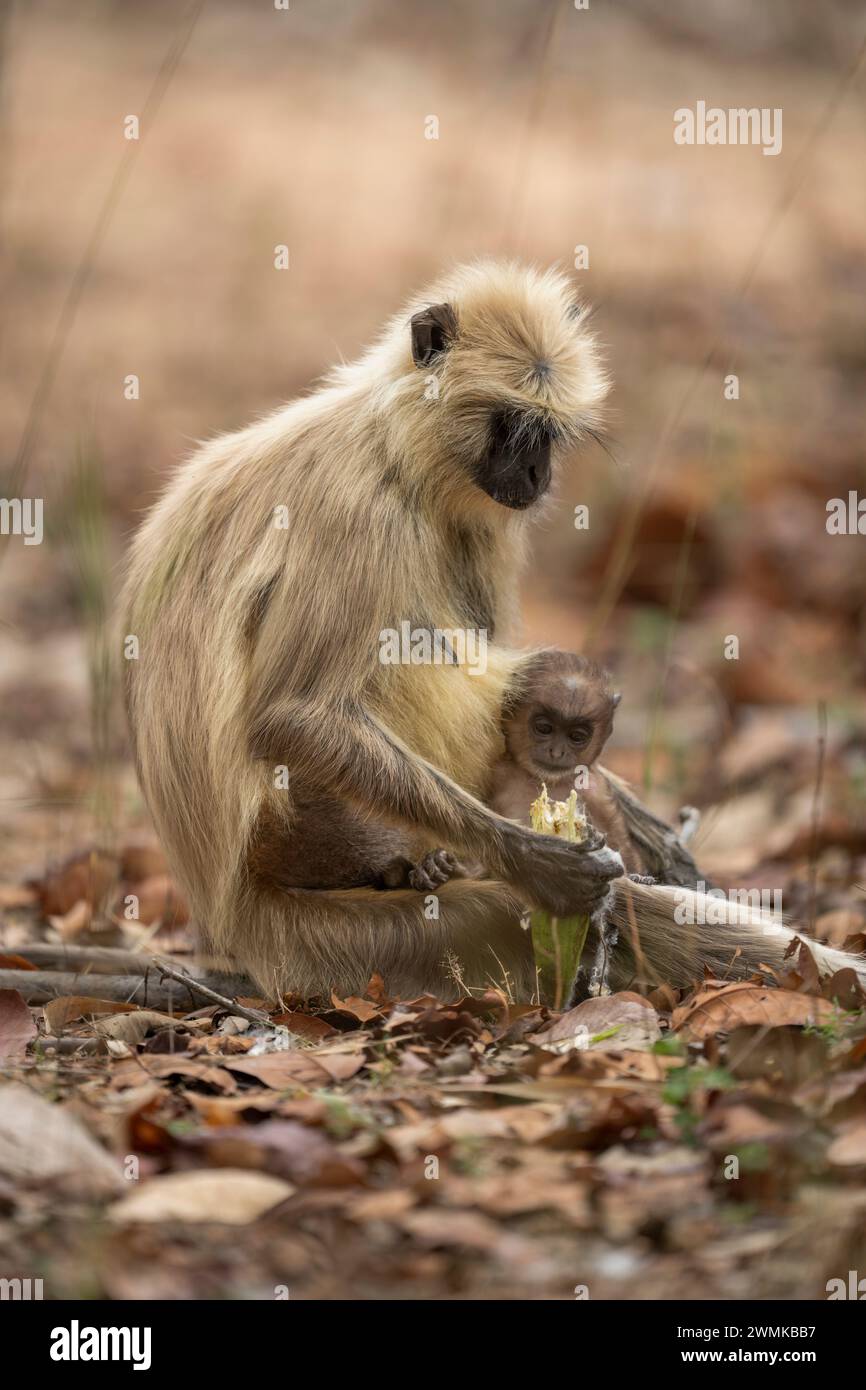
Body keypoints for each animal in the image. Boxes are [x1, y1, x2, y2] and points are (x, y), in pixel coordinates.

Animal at [123, 261, 866, 1000]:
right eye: (512, 427)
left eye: (549, 435)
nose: (538, 473)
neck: (391, 449)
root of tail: (232, 929)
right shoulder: (357, 510)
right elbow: (292, 715)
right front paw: (537, 860)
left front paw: (646, 829)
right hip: (343, 924)